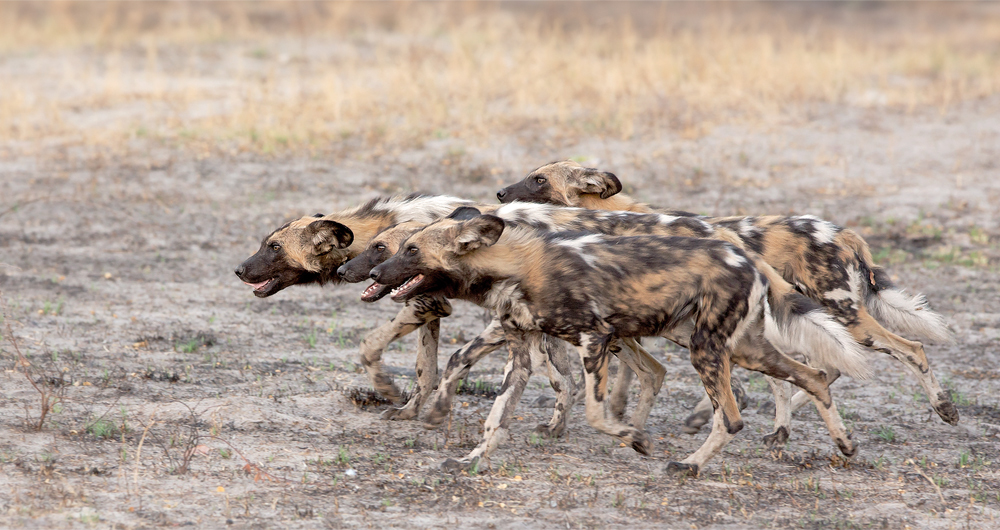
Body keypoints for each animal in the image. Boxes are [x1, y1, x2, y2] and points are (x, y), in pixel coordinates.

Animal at [232, 194, 474, 416]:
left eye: (275, 247)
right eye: (266, 245)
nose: (238, 270)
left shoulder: (425, 303)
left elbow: (368, 347)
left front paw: (387, 388)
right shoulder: (433, 306)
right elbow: (426, 370)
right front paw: (408, 412)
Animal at [368, 212, 868, 472]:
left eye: (410, 250)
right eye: (397, 247)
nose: (373, 272)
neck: (512, 268)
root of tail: (746, 257)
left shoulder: (595, 339)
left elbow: (594, 411)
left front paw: (635, 438)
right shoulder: (520, 353)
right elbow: (496, 417)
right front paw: (472, 458)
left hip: (706, 350)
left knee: (732, 417)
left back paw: (689, 465)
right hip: (742, 349)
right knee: (813, 376)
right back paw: (845, 445)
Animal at [496, 160, 956, 438]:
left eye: (539, 179)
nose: (500, 194)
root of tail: (844, 233)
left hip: (843, 315)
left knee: (905, 350)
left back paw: (943, 407)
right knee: (825, 368)